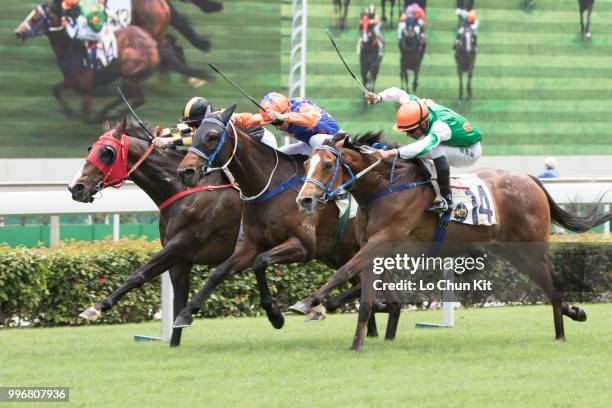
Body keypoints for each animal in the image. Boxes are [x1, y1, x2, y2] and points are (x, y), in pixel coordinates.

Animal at [14, 3, 209, 122]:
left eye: (34, 18)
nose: (18, 32)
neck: (69, 44)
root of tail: (154, 47)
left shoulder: (84, 85)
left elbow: (85, 113)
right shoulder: (71, 80)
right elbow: (56, 90)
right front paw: (69, 113)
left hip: (132, 70)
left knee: (138, 96)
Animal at [175, 105, 400, 338]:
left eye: (212, 136)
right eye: (194, 135)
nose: (185, 172)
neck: (270, 185)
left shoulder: (302, 245)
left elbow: (260, 262)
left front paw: (275, 315)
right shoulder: (251, 245)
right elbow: (218, 273)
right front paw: (186, 314)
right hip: (341, 252)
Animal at [294, 134, 608, 350]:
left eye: (327, 164)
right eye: (307, 163)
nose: (304, 199)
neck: (385, 188)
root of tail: (531, 180)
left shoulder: (383, 241)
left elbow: (343, 272)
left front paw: (307, 303)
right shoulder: (374, 248)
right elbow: (365, 298)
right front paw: (356, 343)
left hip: (529, 251)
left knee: (552, 286)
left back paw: (561, 334)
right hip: (511, 252)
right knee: (547, 285)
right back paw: (573, 314)